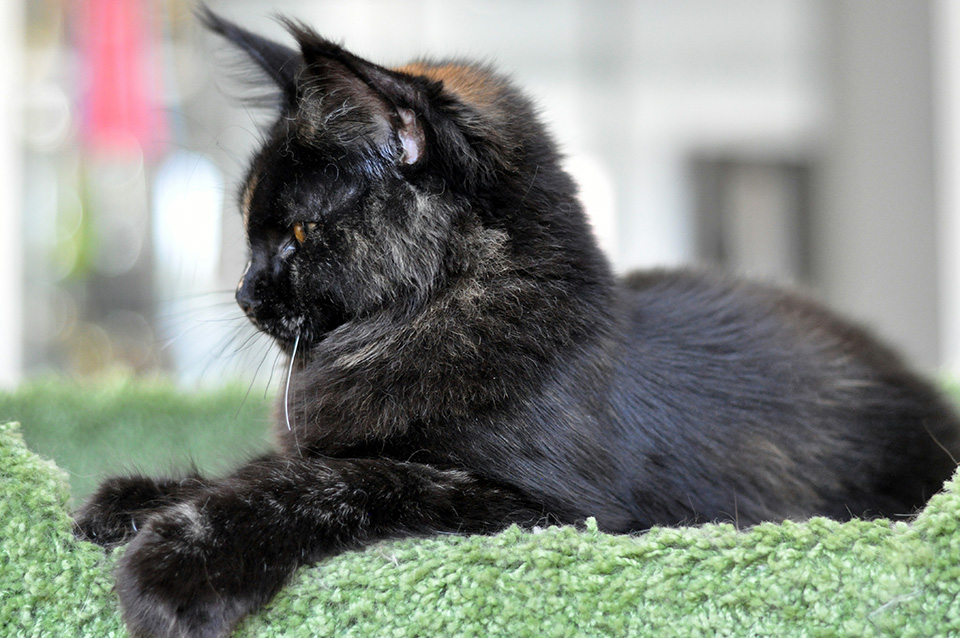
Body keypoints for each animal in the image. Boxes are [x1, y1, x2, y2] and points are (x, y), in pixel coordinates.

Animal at [75, 7, 960, 636]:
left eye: (296, 231)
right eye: (250, 228)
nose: (245, 292)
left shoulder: (543, 511)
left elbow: (341, 480)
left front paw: (179, 564)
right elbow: (265, 464)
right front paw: (130, 498)